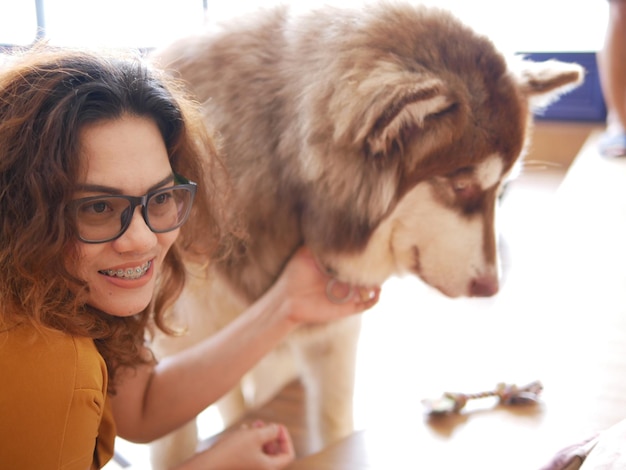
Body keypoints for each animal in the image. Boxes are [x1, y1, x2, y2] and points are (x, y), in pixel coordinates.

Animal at [149, 3, 584, 466]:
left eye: (501, 189)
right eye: (462, 186)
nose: (491, 288)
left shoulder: (333, 342)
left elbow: (334, 424)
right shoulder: (180, 360)